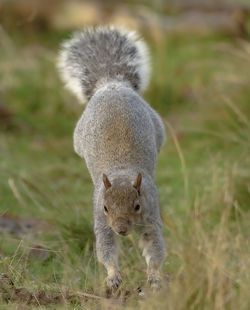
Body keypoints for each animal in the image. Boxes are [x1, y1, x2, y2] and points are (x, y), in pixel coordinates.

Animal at [57, 26, 167, 290]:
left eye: (137, 206)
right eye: (106, 208)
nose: (121, 229)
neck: (122, 175)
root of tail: (111, 84)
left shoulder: (151, 215)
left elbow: (155, 248)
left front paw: (153, 276)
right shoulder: (100, 220)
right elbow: (105, 249)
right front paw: (113, 276)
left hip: (158, 126)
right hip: (78, 136)